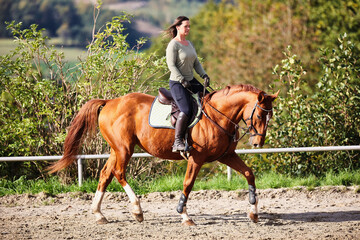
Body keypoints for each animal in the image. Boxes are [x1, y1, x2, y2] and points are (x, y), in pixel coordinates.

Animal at [47, 84, 278, 225]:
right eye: (259, 115)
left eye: (270, 116)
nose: (257, 143)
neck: (217, 115)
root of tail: (110, 102)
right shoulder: (196, 159)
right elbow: (188, 184)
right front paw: (184, 216)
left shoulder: (226, 155)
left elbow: (249, 174)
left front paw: (253, 212)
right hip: (124, 149)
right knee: (119, 173)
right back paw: (137, 210)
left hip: (116, 149)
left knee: (106, 174)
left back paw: (99, 214)